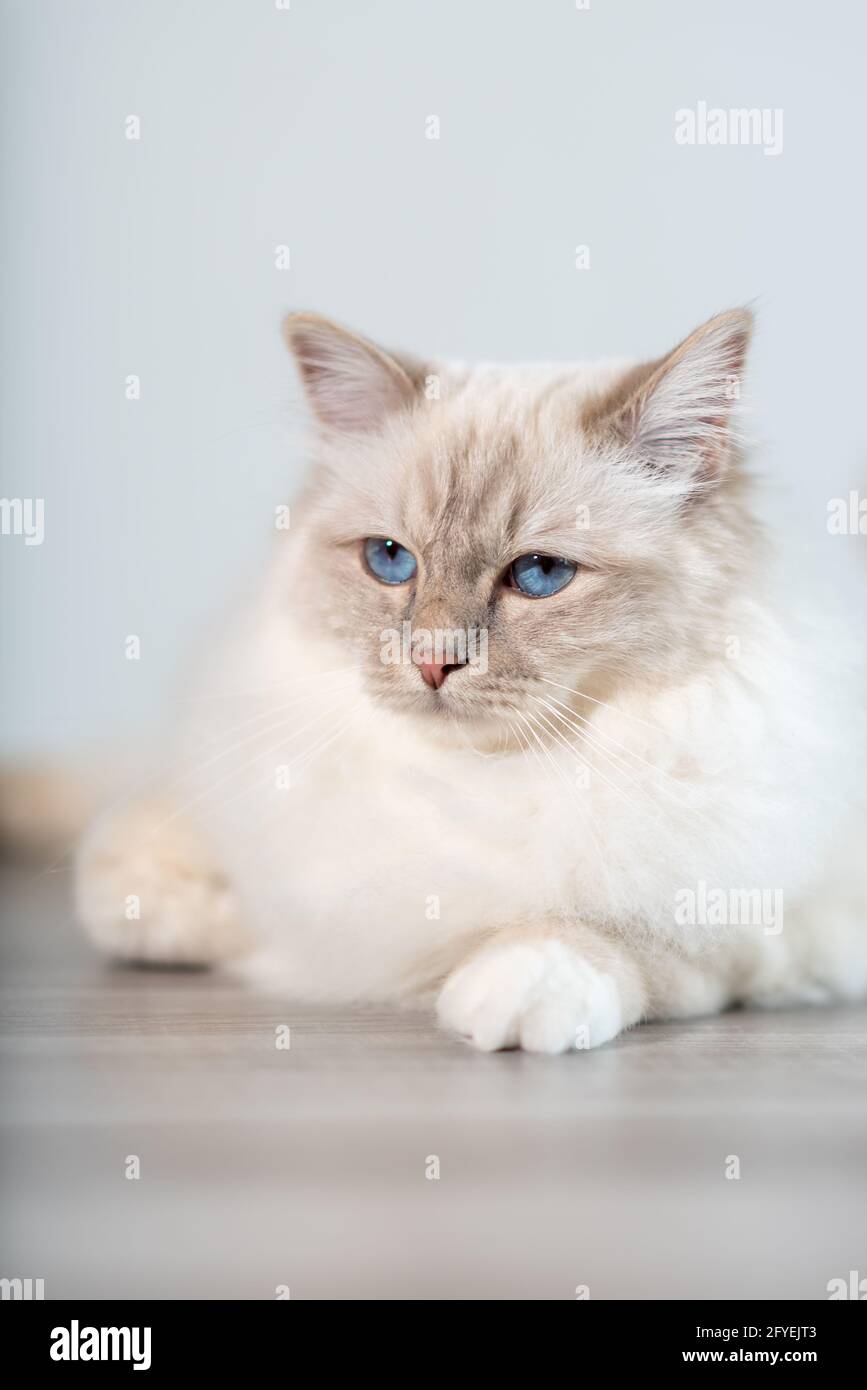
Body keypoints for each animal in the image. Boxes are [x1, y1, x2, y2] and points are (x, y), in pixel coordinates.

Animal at [74, 309, 867, 1050]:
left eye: (540, 574)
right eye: (390, 559)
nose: (433, 660)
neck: (475, 786)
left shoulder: (776, 919)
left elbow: (610, 930)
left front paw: (511, 989)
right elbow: (136, 894)